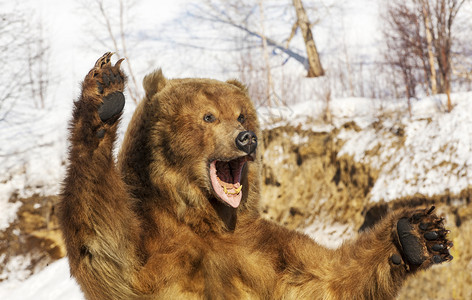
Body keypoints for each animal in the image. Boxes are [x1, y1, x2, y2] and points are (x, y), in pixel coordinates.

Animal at [59, 52, 454, 300]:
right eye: (208, 116)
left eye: (241, 115)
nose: (246, 138)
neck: (204, 217)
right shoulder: (151, 246)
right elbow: (104, 247)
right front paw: (105, 93)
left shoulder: (259, 251)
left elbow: (326, 280)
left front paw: (417, 235)